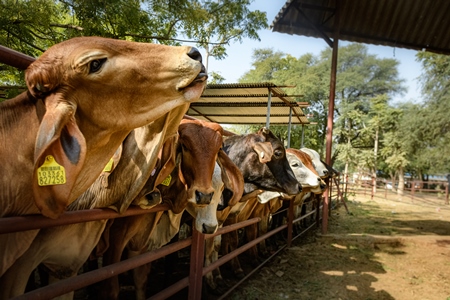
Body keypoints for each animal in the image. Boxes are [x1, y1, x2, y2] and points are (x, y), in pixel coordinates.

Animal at [98, 118, 243, 298]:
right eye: (185, 146)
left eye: (218, 149)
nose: (204, 196)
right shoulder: (115, 236)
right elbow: (110, 287)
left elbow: (142, 277)